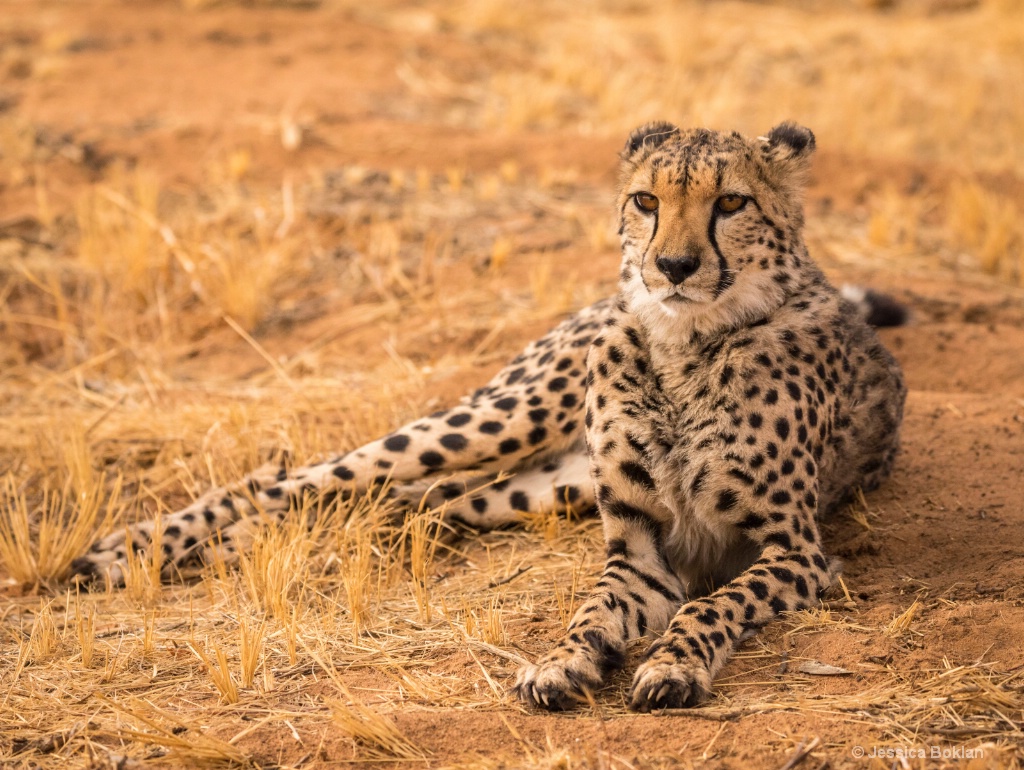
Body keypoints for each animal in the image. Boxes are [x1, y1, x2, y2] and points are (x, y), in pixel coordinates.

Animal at [70, 121, 905, 716]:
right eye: (647, 202)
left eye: (731, 203)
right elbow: (594, 609)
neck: (686, 347)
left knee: (407, 504)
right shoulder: (639, 550)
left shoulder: (795, 552)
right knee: (297, 477)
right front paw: (567, 659)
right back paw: (127, 551)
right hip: (506, 417)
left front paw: (667, 665)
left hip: (545, 486)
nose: (671, 268)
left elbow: (711, 604)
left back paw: (272, 548)